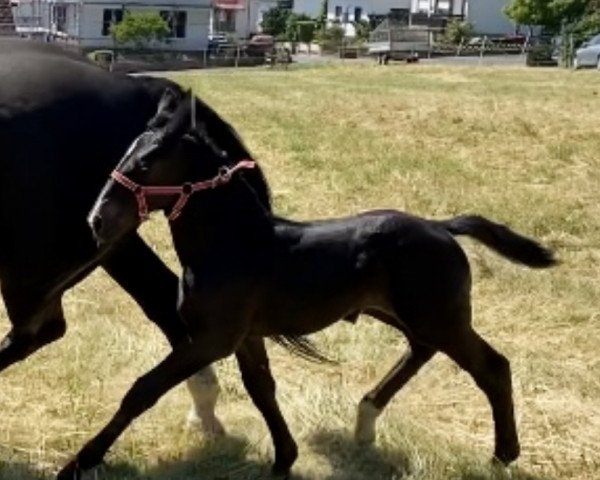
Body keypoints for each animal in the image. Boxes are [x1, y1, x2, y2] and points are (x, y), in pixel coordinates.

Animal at [0, 40, 224, 438]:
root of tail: (127, 85)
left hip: (37, 259)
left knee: (39, 328)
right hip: (107, 236)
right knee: (163, 298)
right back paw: (204, 411)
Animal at [77, 88, 556, 478]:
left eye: (145, 163)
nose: (97, 221)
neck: (232, 243)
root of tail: (441, 227)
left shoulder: (214, 338)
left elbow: (145, 389)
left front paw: (84, 460)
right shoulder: (246, 337)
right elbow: (262, 390)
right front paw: (283, 459)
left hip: (440, 317)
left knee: (492, 366)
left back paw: (502, 455)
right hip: (401, 313)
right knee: (422, 350)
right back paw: (366, 419)